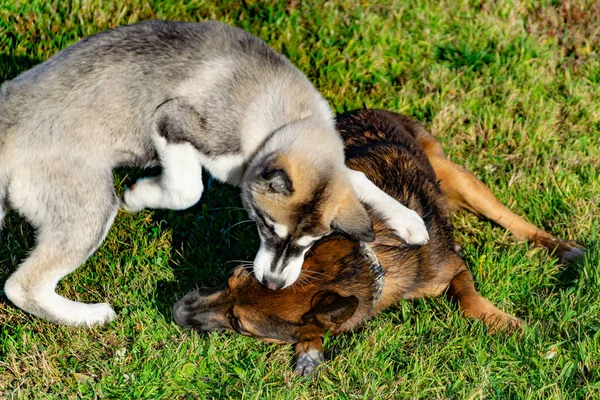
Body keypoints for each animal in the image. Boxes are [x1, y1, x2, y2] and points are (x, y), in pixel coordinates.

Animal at [0, 19, 426, 324]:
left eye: (311, 243)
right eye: (267, 227)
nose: (272, 285)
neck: (284, 119)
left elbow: (358, 178)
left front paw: (409, 221)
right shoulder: (173, 122)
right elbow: (189, 190)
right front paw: (140, 194)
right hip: (89, 209)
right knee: (21, 286)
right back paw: (88, 316)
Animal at [171, 108, 584, 376]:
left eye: (239, 324)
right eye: (228, 280)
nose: (175, 311)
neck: (367, 256)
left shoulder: (452, 267)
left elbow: (467, 299)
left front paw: (507, 323)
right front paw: (309, 348)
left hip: (459, 179)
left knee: (512, 220)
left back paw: (562, 248)